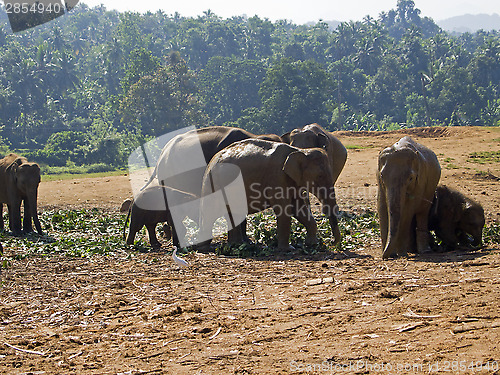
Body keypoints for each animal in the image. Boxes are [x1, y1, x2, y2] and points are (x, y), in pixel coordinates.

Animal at [196, 140, 340, 251]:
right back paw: (204, 248)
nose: (332, 243)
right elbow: (284, 209)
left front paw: (312, 244)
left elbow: (298, 209)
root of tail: (212, 161)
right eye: (319, 176)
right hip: (211, 184)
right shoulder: (277, 177)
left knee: (233, 214)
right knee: (209, 213)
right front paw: (288, 249)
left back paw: (236, 245)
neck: (300, 151)